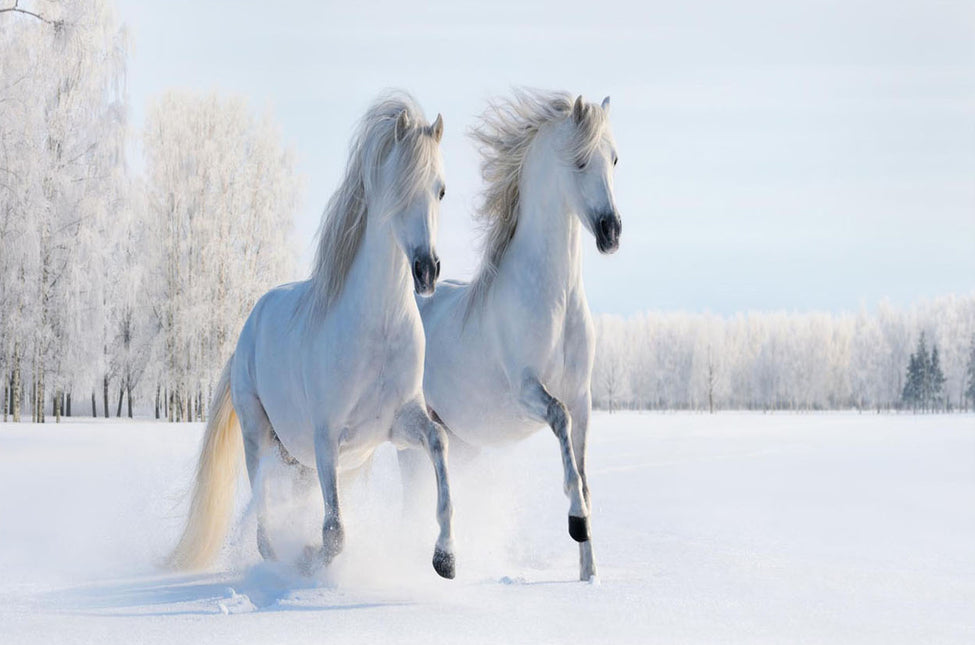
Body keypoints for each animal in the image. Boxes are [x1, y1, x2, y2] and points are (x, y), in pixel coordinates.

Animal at [169, 93, 457, 579]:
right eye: (398, 188)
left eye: (440, 190)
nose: (426, 271)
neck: (377, 329)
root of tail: (248, 327)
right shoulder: (327, 440)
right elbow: (335, 532)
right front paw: (308, 558)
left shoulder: (397, 425)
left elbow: (439, 444)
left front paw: (445, 558)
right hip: (260, 437)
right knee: (263, 506)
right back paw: (275, 557)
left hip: (297, 459)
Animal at [404, 90, 621, 581]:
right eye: (580, 161)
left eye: (615, 159)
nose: (611, 231)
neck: (554, 299)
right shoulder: (527, 391)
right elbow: (560, 425)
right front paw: (576, 522)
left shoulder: (583, 397)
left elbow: (584, 473)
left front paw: (590, 574)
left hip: (459, 439)